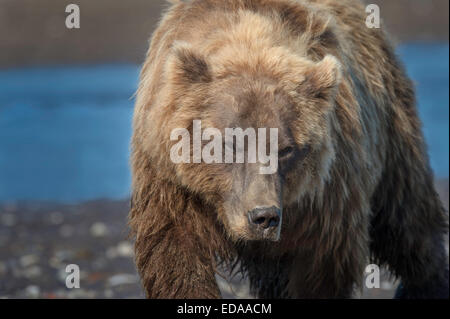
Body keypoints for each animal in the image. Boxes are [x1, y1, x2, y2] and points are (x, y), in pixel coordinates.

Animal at [128, 0, 448, 300]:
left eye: (285, 149)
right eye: (230, 143)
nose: (263, 216)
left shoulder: (325, 197)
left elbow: (321, 268)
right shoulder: (171, 183)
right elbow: (176, 256)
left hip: (392, 130)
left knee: (408, 221)